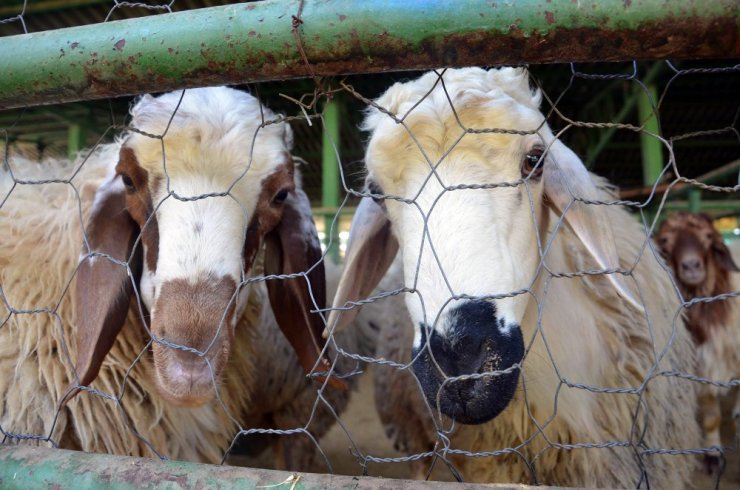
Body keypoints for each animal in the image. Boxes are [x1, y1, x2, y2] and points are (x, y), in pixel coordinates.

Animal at [656, 212, 736, 472]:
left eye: (708, 236)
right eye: (665, 241)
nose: (691, 266)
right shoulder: (703, 366)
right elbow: (712, 418)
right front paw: (712, 455)